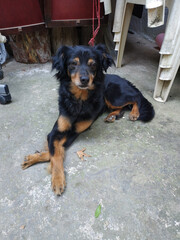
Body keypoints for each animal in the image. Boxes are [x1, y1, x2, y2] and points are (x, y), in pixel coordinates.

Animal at [21, 44, 155, 195]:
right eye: (73, 63)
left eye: (93, 64)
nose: (84, 79)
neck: (79, 100)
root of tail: (123, 79)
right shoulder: (57, 131)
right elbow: (55, 152)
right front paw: (37, 161)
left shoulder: (74, 132)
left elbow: (55, 152)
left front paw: (56, 179)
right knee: (125, 106)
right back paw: (112, 116)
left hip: (113, 95)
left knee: (135, 97)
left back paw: (134, 113)